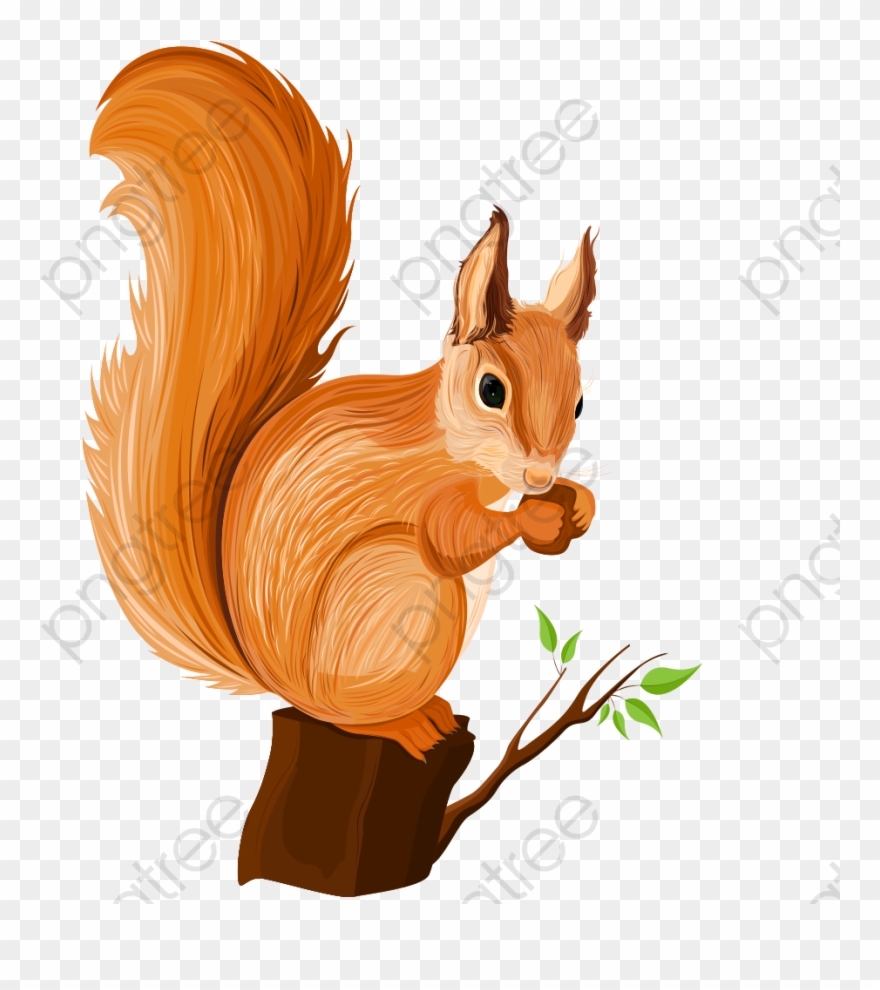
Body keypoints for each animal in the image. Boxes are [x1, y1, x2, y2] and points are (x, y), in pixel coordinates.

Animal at [85, 45, 598, 760]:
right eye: (491, 390)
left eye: (579, 404)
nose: (541, 476)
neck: (455, 446)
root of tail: (279, 683)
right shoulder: (425, 495)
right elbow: (452, 539)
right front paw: (536, 519)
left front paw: (577, 504)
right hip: (398, 595)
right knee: (347, 712)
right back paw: (401, 724)